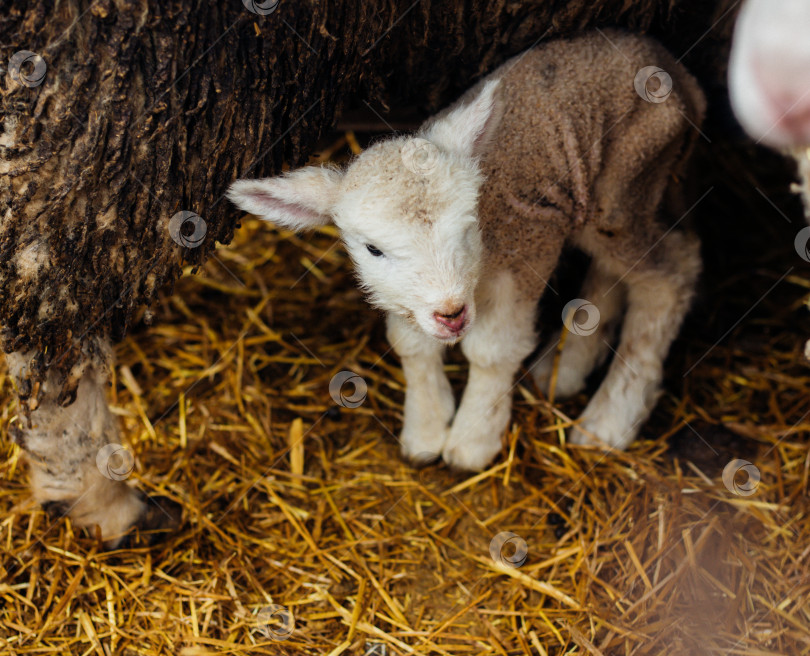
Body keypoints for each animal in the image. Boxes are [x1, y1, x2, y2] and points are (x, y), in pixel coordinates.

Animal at [229, 30, 708, 472]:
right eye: (373, 249)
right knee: (616, 271)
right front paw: (426, 429)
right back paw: (566, 367)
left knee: (672, 274)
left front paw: (473, 440)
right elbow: (411, 344)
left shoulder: (530, 242)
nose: (451, 314)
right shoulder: (404, 297)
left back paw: (610, 417)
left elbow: (493, 351)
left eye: (468, 226)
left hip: (627, 184)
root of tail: (682, 75)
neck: (483, 261)